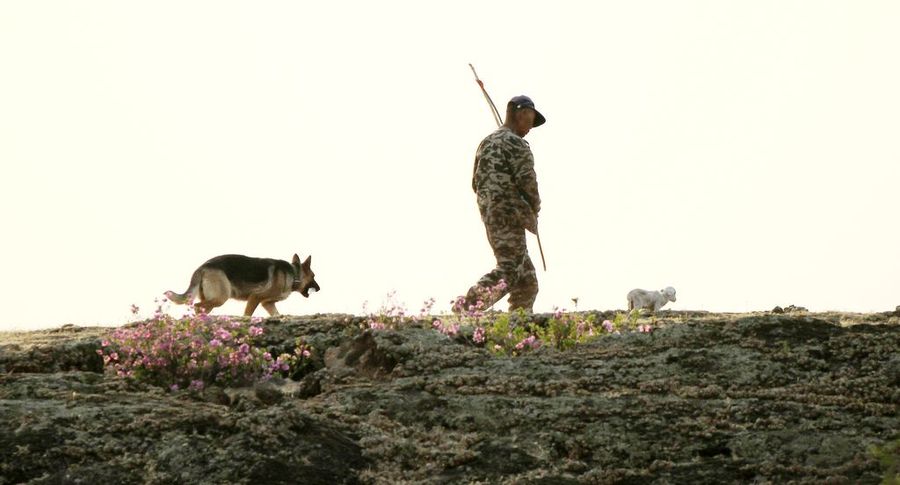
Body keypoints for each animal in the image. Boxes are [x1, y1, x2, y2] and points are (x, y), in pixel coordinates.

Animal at [165, 253, 320, 318]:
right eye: (314, 276)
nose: (319, 289)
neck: (294, 273)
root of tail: (202, 267)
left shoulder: (267, 304)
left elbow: (276, 313)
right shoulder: (255, 297)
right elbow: (247, 315)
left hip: (212, 300)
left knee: (200, 307)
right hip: (221, 297)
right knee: (197, 306)